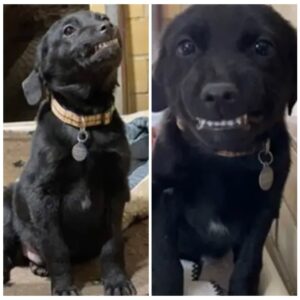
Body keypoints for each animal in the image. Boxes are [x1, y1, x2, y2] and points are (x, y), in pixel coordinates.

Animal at [3, 9, 136, 296]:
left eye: (100, 18)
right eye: (68, 30)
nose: (108, 26)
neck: (84, 121)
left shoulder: (116, 187)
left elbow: (113, 244)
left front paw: (117, 281)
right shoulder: (44, 196)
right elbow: (56, 249)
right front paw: (63, 287)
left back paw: (38, 268)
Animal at [154, 4, 296, 296]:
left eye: (262, 47)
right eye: (186, 47)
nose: (219, 94)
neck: (222, 159)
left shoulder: (264, 209)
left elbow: (248, 263)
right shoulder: (163, 195)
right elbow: (165, 260)